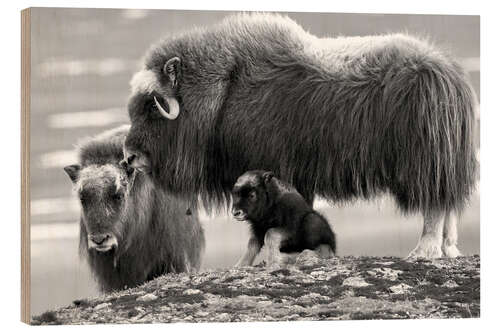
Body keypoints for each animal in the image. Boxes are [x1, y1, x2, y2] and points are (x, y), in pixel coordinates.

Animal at [123, 13, 478, 258]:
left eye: (152, 105)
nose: (129, 157)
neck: (224, 90)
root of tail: (450, 76)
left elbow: (263, 231)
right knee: (448, 205)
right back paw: (449, 250)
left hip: (424, 163)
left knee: (434, 206)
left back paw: (424, 252)